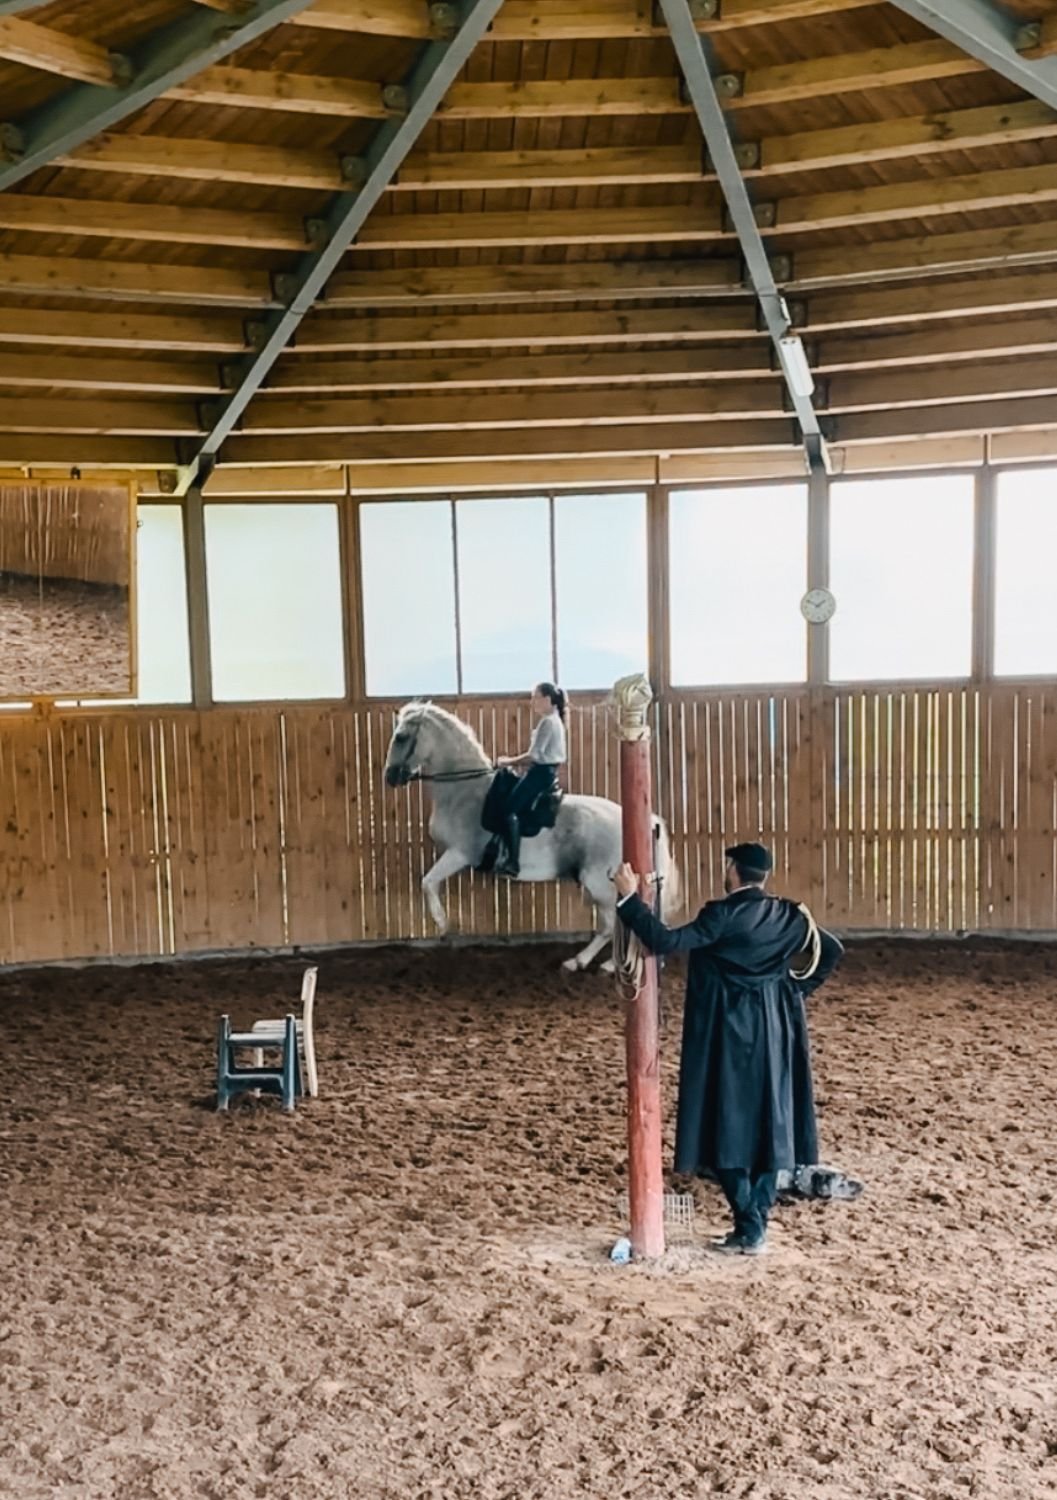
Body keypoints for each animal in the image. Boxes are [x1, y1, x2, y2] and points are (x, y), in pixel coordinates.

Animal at [383, 702, 680, 972]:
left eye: (401, 737)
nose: (390, 777)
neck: (464, 791)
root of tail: (647, 822)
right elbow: (431, 882)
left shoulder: (459, 853)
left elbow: (428, 881)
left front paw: (442, 922)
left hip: (600, 884)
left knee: (610, 925)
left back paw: (586, 962)